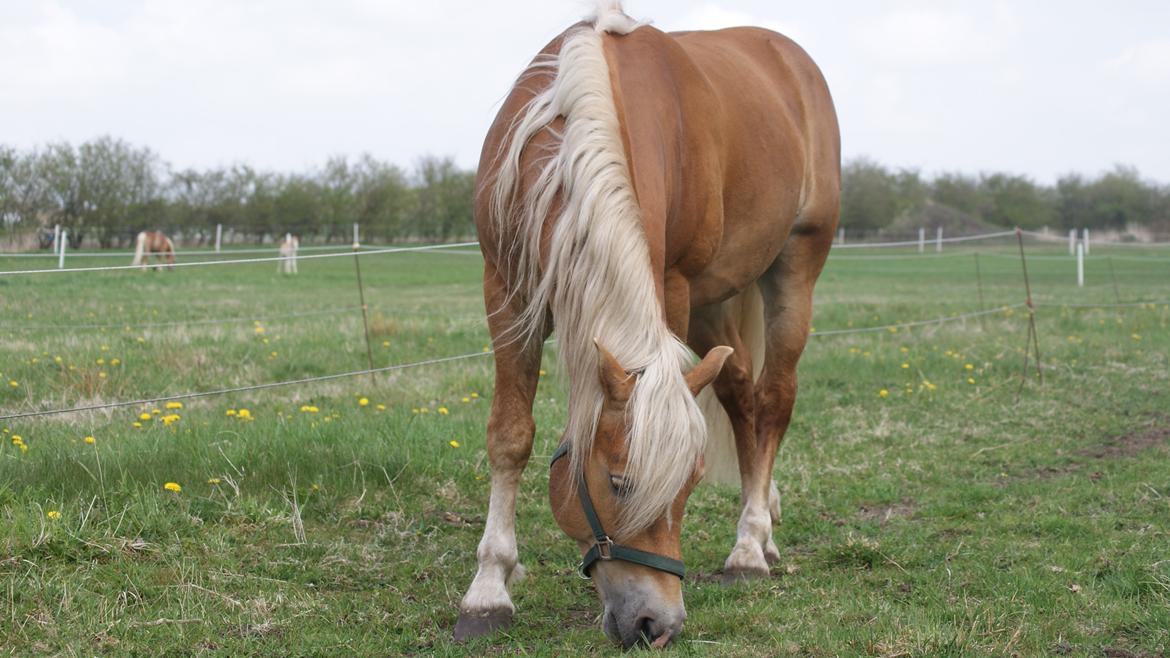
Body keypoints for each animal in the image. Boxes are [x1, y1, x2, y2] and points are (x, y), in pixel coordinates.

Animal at [456, 0, 842, 646]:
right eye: (619, 483)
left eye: (689, 484)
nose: (656, 623)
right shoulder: (506, 293)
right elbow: (510, 436)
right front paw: (488, 591)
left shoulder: (673, 284)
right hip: (715, 301)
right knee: (741, 395)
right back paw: (758, 528)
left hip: (794, 269)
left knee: (774, 401)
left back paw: (749, 547)